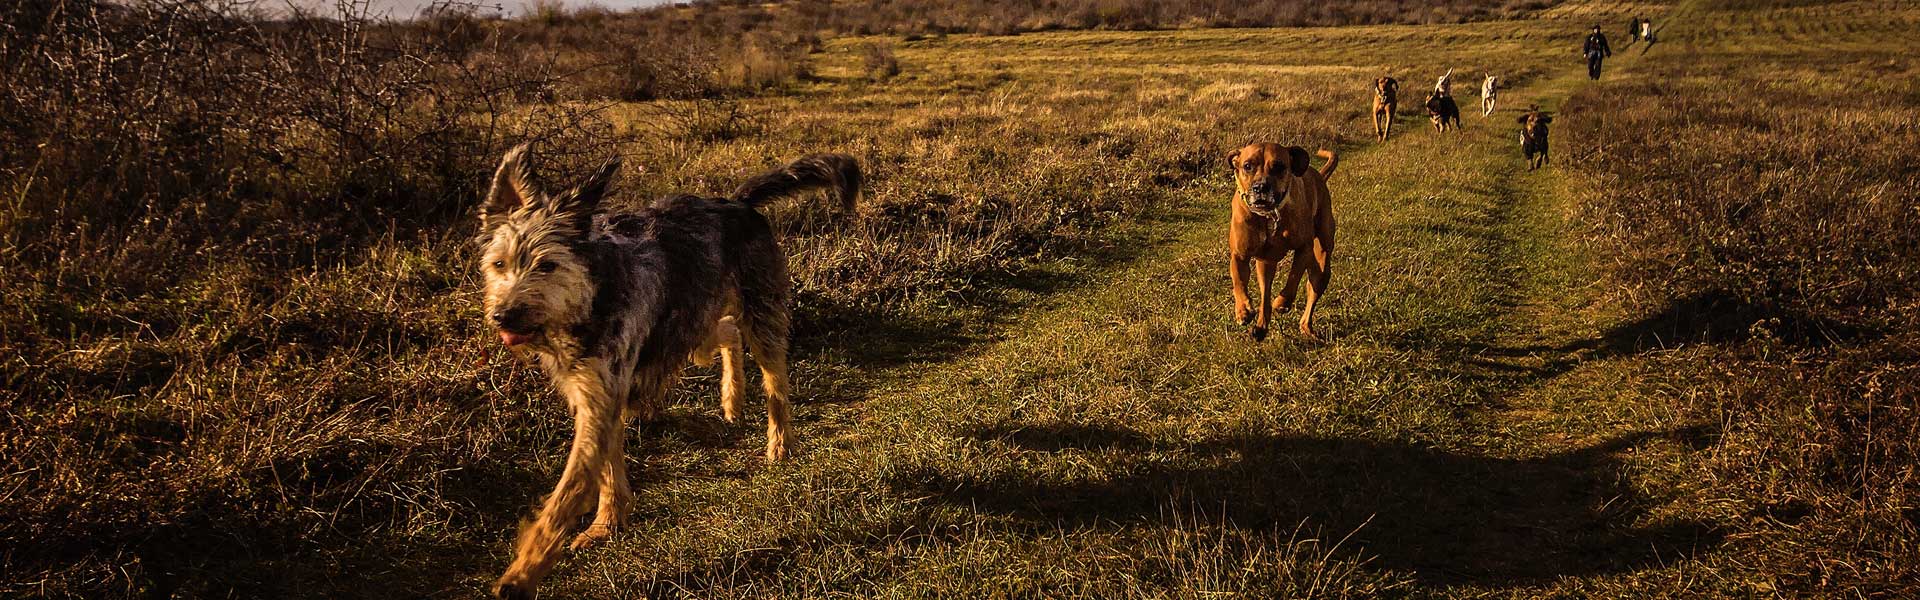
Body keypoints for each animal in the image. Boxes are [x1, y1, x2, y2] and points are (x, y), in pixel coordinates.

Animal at [1228, 141, 1336, 342]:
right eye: (1247, 166)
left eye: (1279, 166)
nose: (1260, 187)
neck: (1267, 216)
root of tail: (1318, 176)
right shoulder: (1239, 255)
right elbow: (1238, 281)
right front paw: (1243, 310)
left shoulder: (1304, 248)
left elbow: (1293, 278)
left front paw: (1282, 302)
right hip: (1265, 264)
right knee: (1265, 295)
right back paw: (1261, 327)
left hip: (1322, 265)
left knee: (1312, 291)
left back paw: (1306, 327)